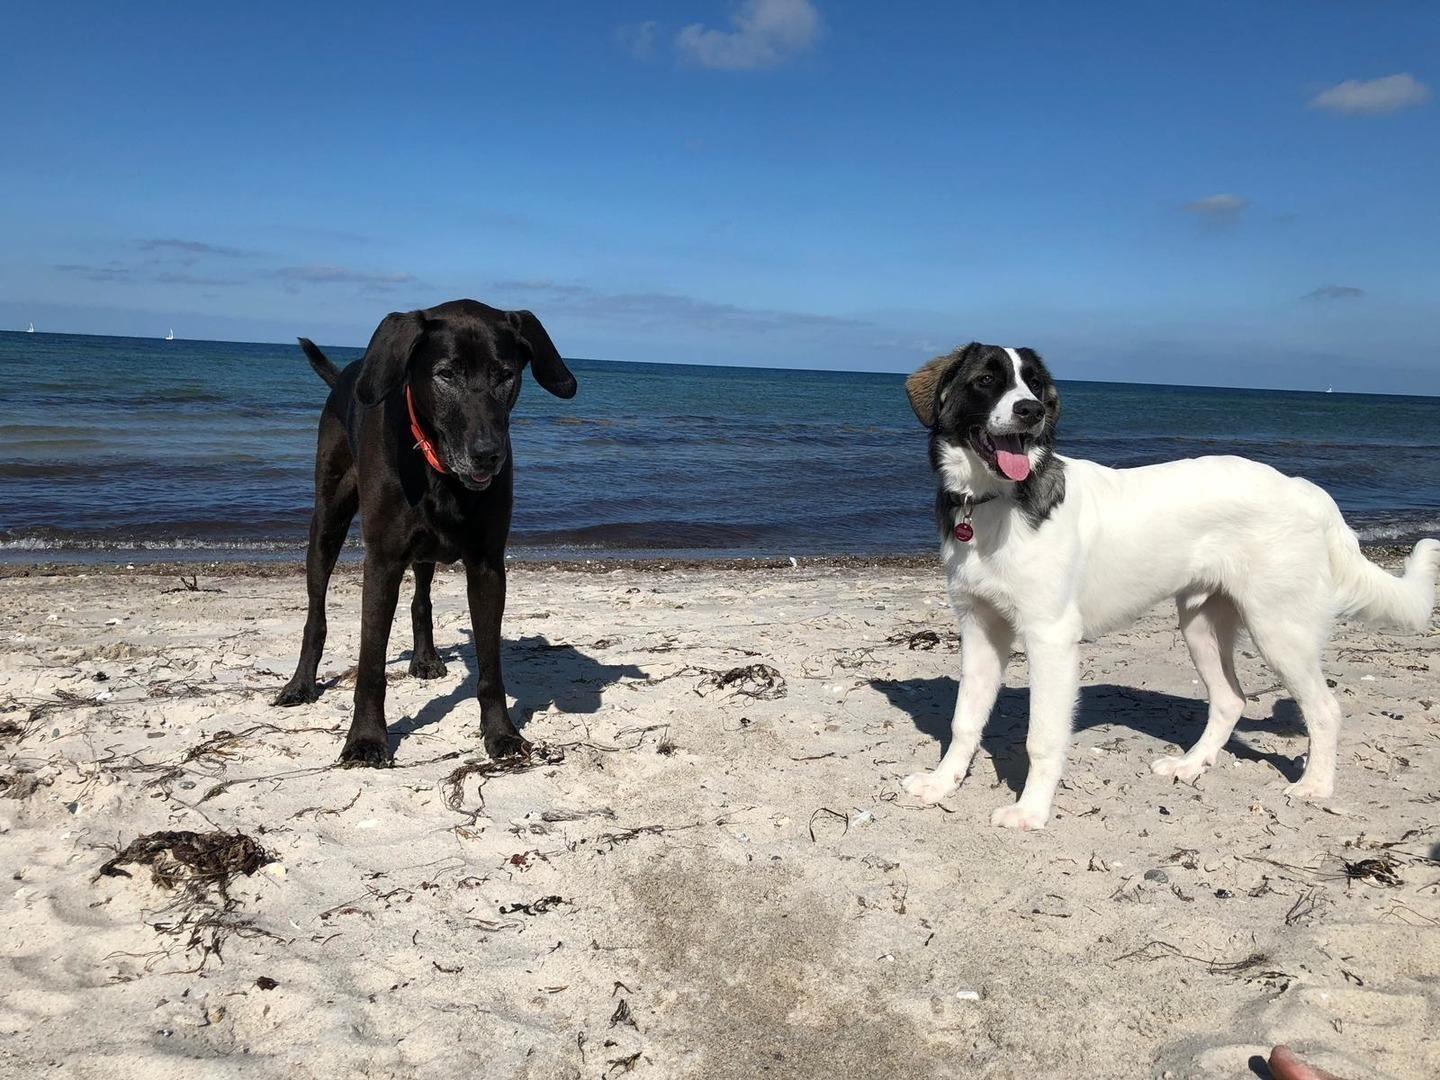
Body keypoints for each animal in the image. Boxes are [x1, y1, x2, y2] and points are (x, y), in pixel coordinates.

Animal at [274, 299, 577, 766]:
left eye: (505, 374)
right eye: (445, 375)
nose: (488, 454)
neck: (440, 471)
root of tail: (346, 375)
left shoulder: (487, 566)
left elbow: (490, 663)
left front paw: (500, 732)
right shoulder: (382, 561)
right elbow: (370, 664)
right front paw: (366, 738)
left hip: (425, 551)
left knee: (421, 600)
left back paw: (425, 658)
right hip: (328, 520)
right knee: (316, 611)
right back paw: (301, 683)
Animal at [900, 342, 1440, 829]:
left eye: (1033, 385)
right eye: (986, 381)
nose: (1030, 411)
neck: (995, 502)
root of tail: (1305, 488)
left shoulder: (1049, 637)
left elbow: (1043, 736)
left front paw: (1031, 811)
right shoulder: (979, 628)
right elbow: (964, 719)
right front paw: (942, 783)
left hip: (1279, 629)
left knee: (1325, 709)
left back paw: (1315, 786)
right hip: (1201, 624)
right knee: (1231, 700)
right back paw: (1191, 765)